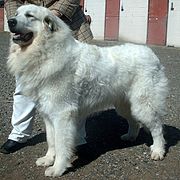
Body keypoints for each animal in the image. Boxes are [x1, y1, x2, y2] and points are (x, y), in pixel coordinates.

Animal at [6, 4, 167, 177]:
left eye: (29, 16)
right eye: (16, 13)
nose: (10, 21)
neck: (45, 50)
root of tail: (151, 53)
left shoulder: (62, 114)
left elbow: (61, 143)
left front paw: (57, 168)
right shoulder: (48, 114)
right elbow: (51, 140)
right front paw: (48, 159)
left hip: (143, 105)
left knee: (157, 127)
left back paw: (158, 151)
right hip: (124, 105)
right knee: (134, 121)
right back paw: (130, 136)